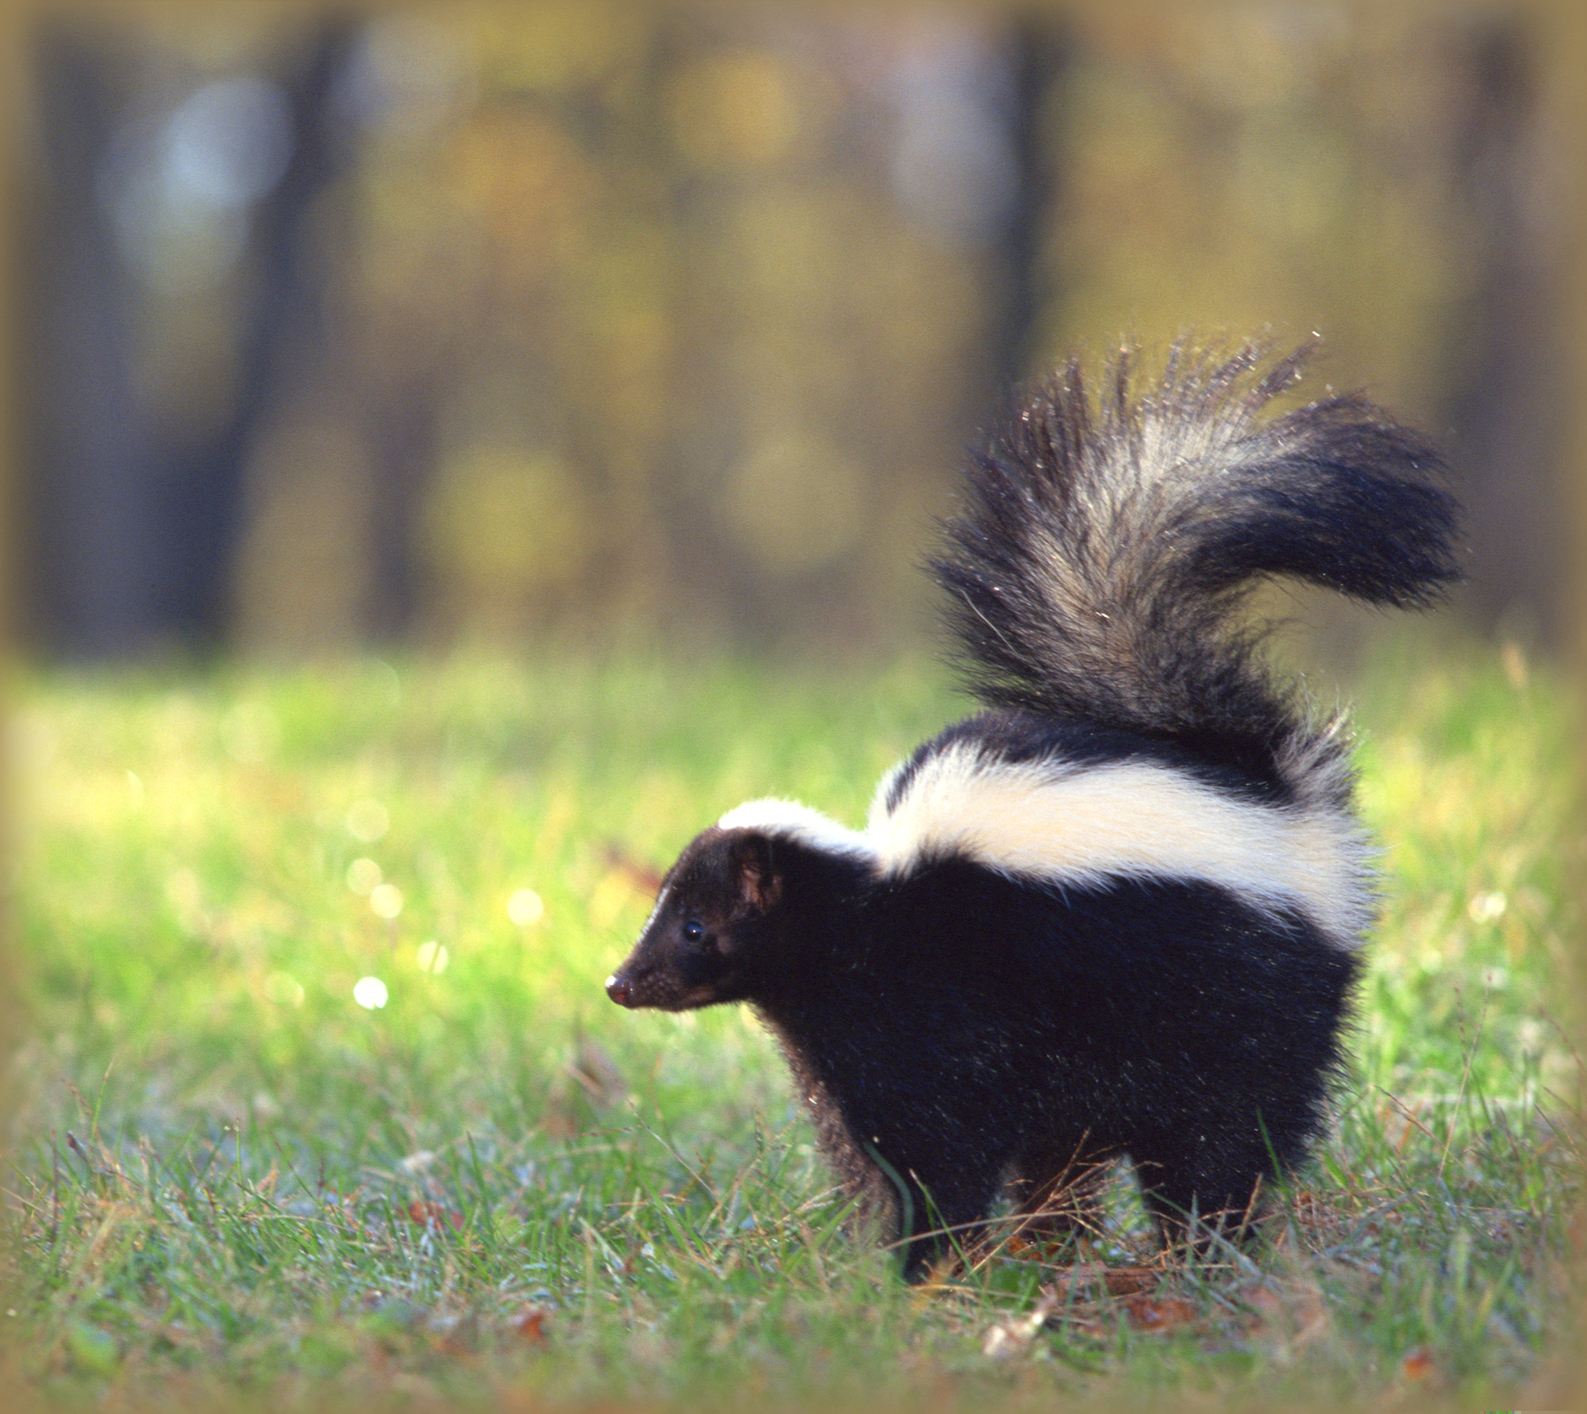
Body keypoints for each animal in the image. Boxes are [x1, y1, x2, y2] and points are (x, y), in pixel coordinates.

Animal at [606, 342, 1460, 1282]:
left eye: (694, 927)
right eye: (662, 913)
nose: (620, 983)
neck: (863, 906)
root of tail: (1267, 782)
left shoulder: (930, 1020)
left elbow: (936, 1155)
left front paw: (922, 1272)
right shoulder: (852, 1052)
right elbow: (875, 1157)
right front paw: (880, 1267)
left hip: (1236, 1004)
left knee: (1220, 1141)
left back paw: (1200, 1256)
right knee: (1080, 1156)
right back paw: (1062, 1249)